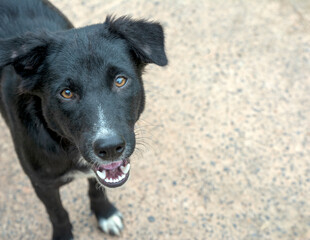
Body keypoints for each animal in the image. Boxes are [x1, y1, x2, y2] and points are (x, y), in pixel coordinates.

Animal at [0, 0, 167, 239]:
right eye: (67, 93)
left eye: (120, 80)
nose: (110, 148)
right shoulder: (42, 183)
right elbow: (57, 213)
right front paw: (63, 234)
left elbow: (97, 188)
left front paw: (104, 213)